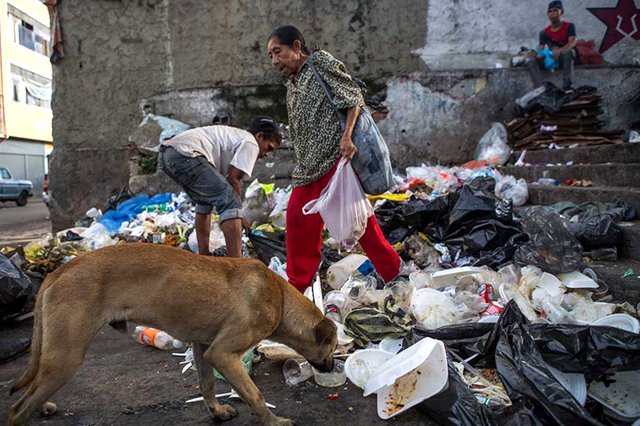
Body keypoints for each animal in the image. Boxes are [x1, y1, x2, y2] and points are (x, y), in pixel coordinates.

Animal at [7, 243, 338, 426]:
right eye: (333, 347)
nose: (333, 366)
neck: (279, 298)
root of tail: (57, 272)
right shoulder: (223, 353)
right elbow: (254, 393)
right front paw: (273, 421)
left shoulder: (204, 347)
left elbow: (206, 384)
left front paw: (216, 411)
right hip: (67, 357)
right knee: (17, 410)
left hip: (56, 357)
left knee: (30, 392)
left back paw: (43, 407)